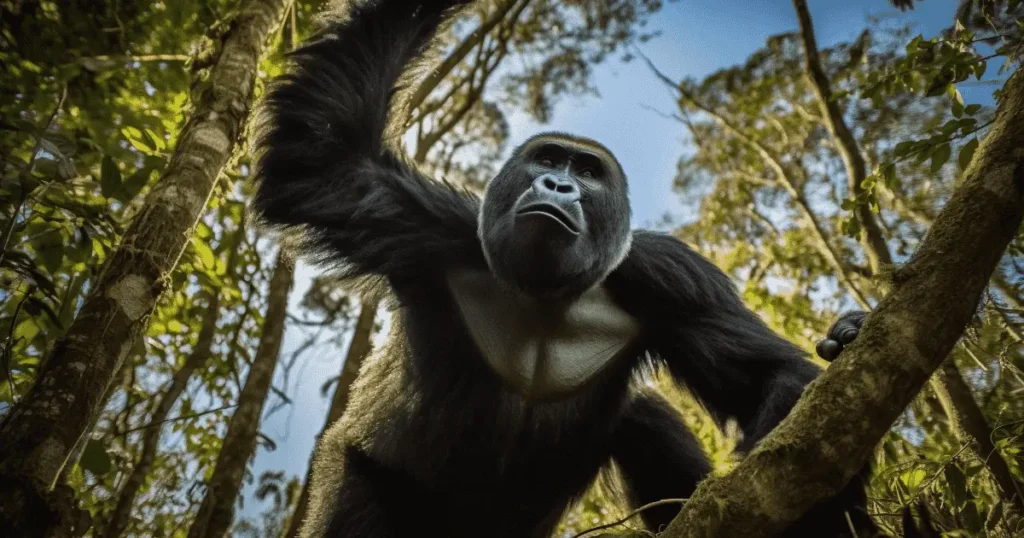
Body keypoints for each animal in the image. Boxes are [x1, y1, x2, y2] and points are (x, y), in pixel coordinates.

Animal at [251, 1, 876, 536]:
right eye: (548, 159)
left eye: (588, 172)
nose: (558, 185)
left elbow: (768, 378)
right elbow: (324, 163)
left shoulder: (673, 277)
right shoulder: (435, 226)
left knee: (643, 417)